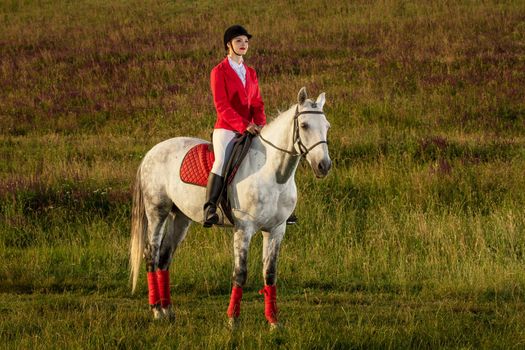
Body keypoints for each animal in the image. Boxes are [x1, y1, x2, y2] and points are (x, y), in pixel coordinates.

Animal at [128, 87, 330, 328]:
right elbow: (240, 273)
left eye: (327, 126)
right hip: (157, 212)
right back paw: (157, 310)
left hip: (181, 218)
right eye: (305, 125)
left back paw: (168, 310)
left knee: (165, 257)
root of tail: (152, 151)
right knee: (151, 254)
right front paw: (233, 320)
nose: (324, 166)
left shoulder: (276, 230)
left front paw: (273, 321)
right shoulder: (244, 229)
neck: (274, 175)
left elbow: (270, 274)